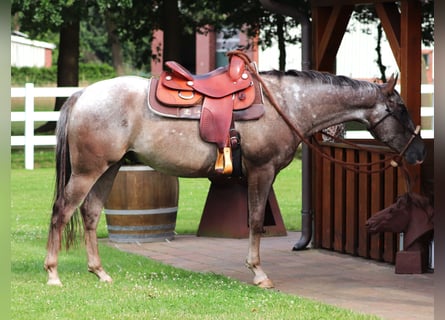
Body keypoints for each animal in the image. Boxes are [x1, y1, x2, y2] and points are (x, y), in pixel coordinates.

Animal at [43, 54, 424, 288]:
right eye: (400, 109)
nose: (418, 151)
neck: (286, 103)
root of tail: (81, 94)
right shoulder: (262, 171)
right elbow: (255, 221)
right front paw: (258, 273)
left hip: (109, 169)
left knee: (90, 214)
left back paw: (100, 272)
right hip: (88, 171)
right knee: (62, 212)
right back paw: (53, 274)